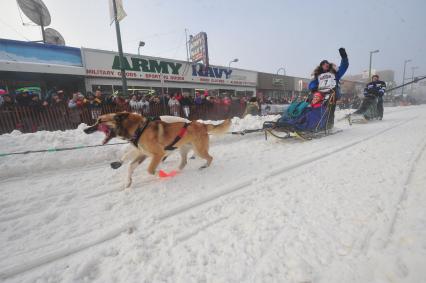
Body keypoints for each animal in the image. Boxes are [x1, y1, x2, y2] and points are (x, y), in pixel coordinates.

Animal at [83, 112, 230, 189]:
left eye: (100, 121)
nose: (85, 130)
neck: (139, 129)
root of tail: (202, 124)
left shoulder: (157, 154)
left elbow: (150, 170)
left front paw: (161, 174)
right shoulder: (143, 154)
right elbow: (130, 166)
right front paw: (128, 182)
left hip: (199, 149)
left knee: (210, 157)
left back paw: (204, 166)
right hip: (183, 149)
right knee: (184, 162)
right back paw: (176, 171)